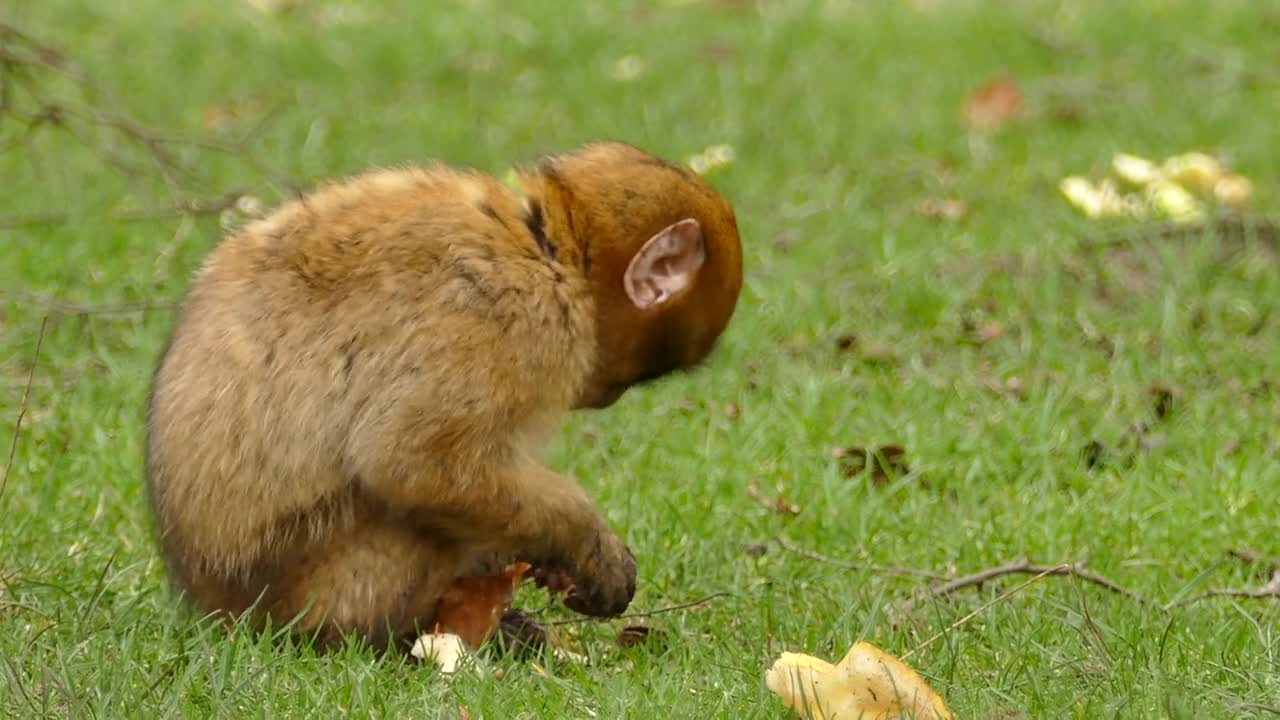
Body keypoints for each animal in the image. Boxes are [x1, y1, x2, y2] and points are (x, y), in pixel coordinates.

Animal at [145, 139, 747, 650]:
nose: (605, 397)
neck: (550, 247)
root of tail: (216, 606)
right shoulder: (511, 316)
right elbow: (411, 463)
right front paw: (585, 542)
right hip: (313, 587)